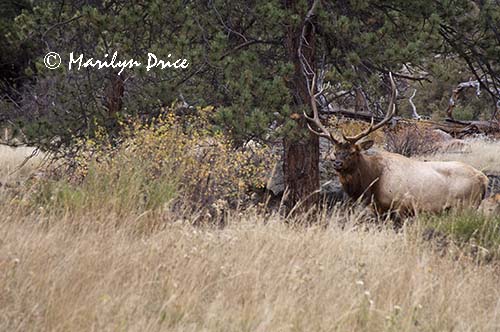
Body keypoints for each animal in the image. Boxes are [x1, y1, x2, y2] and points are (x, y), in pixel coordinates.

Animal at [304, 72, 488, 215]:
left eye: (353, 152)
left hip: (466, 206)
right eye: (335, 152)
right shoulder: (380, 209)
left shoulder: (400, 206)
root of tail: (483, 179)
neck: (372, 184)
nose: (337, 163)